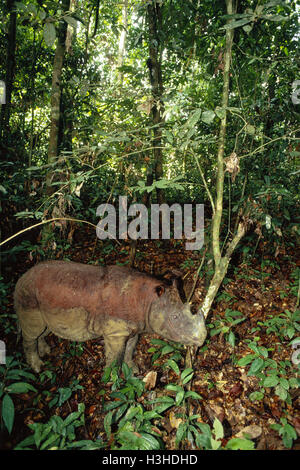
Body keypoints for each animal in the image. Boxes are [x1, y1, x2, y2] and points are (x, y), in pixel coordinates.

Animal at [13, 258, 206, 372]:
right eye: (174, 318)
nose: (202, 339)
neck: (149, 301)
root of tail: (22, 277)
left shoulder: (134, 327)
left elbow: (130, 349)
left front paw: (133, 370)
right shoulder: (115, 332)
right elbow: (115, 356)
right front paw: (111, 381)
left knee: (42, 329)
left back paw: (46, 351)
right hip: (28, 293)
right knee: (32, 331)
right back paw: (37, 367)